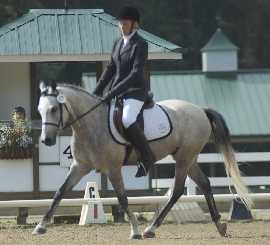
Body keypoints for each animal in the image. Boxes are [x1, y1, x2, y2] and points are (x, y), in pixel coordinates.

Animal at [32, 81, 252, 238]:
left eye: (54, 109)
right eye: (40, 110)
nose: (46, 140)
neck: (91, 125)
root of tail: (200, 109)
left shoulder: (113, 168)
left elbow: (122, 198)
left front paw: (135, 231)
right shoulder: (80, 167)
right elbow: (60, 192)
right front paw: (41, 226)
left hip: (184, 157)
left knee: (178, 190)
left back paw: (150, 229)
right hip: (187, 158)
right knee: (204, 183)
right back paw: (220, 225)